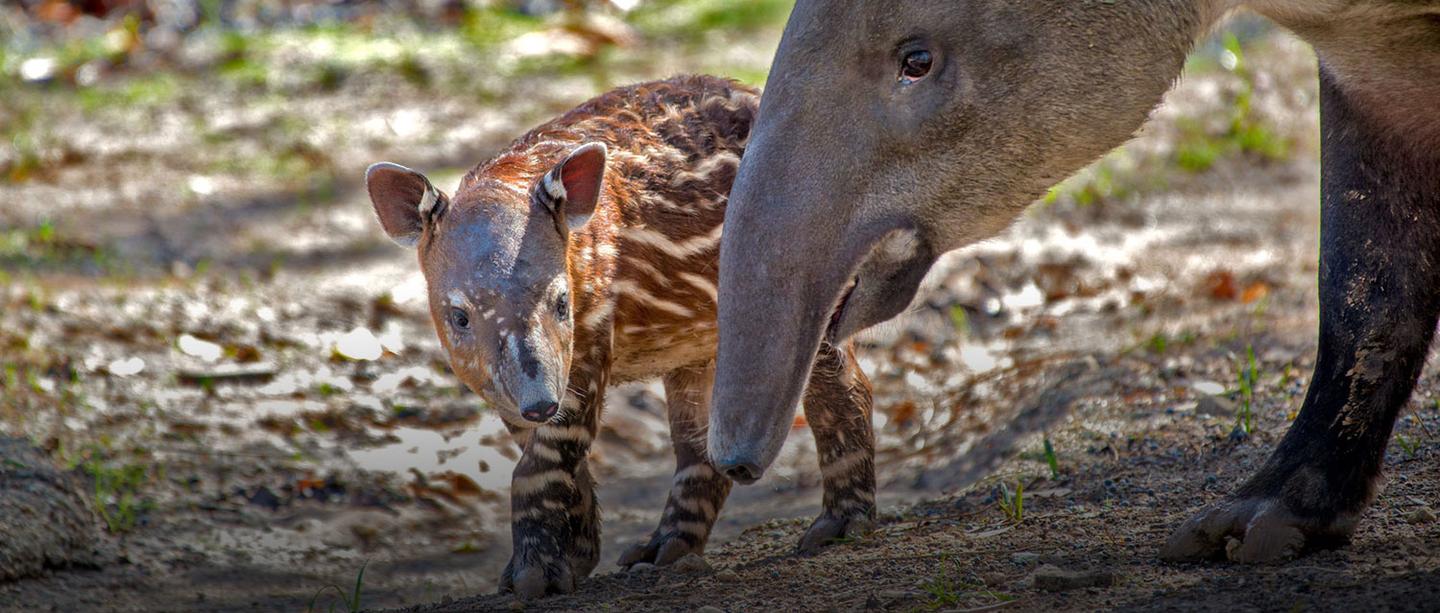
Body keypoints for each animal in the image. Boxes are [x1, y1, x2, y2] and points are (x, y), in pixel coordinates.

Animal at [365, 73, 869, 598]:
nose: (540, 404)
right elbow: (553, 460)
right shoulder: (505, 385)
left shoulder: (588, 342)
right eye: (460, 317)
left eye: (562, 301)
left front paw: (533, 577)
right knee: (699, 440)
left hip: (812, 267)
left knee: (842, 385)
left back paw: (840, 527)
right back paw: (662, 553)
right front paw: (578, 555)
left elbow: (545, 463)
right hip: (693, 343)